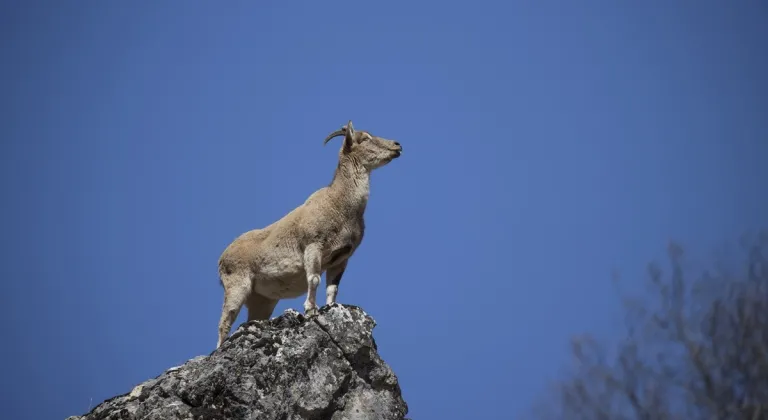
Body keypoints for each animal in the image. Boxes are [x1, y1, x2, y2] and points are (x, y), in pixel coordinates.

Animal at [212, 120, 400, 348]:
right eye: (364, 139)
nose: (397, 145)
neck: (341, 206)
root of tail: (222, 259)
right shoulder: (313, 246)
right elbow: (314, 279)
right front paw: (311, 309)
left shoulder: (342, 258)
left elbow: (332, 289)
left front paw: (330, 309)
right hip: (237, 286)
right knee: (225, 321)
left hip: (262, 300)